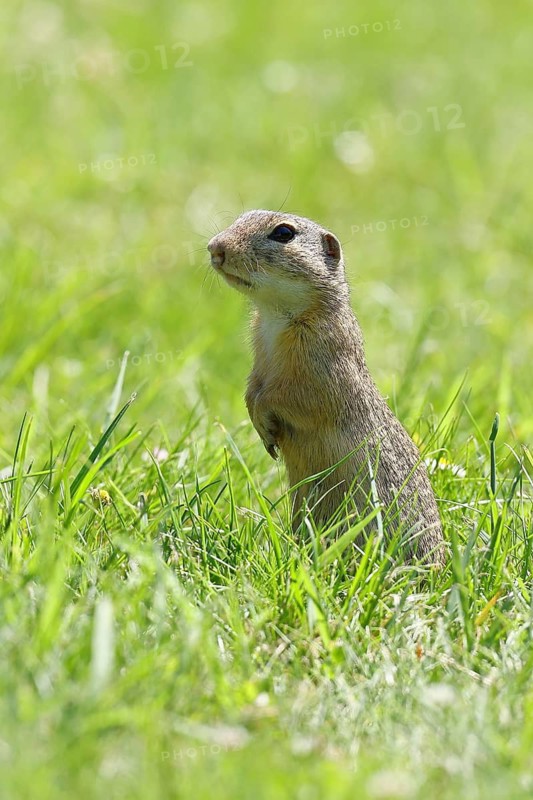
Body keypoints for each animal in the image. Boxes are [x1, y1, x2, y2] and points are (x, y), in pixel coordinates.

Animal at [208, 210, 445, 564]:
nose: (215, 248)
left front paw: (265, 419)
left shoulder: (322, 364)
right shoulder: (259, 356)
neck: (275, 316)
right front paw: (259, 423)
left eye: (283, 233)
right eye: (242, 216)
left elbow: (292, 396)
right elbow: (253, 386)